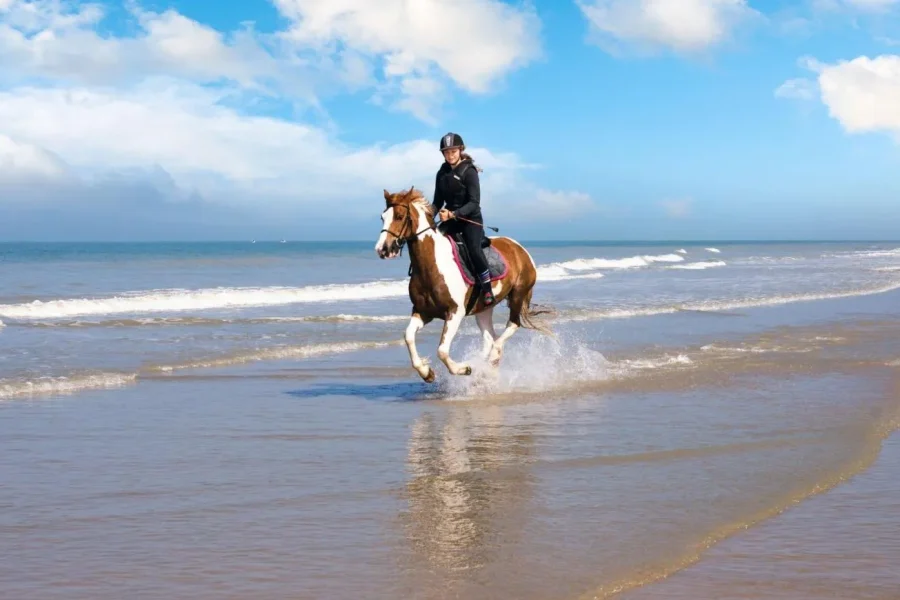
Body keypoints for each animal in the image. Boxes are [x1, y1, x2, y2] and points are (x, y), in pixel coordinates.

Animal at [375, 186, 551, 383]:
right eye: (383, 217)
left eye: (399, 216)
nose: (383, 249)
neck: (431, 265)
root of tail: (520, 249)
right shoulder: (423, 312)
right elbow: (408, 337)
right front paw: (427, 372)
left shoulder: (454, 312)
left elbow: (442, 351)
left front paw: (463, 369)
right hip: (483, 309)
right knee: (490, 338)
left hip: (517, 295)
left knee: (512, 325)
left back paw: (491, 358)